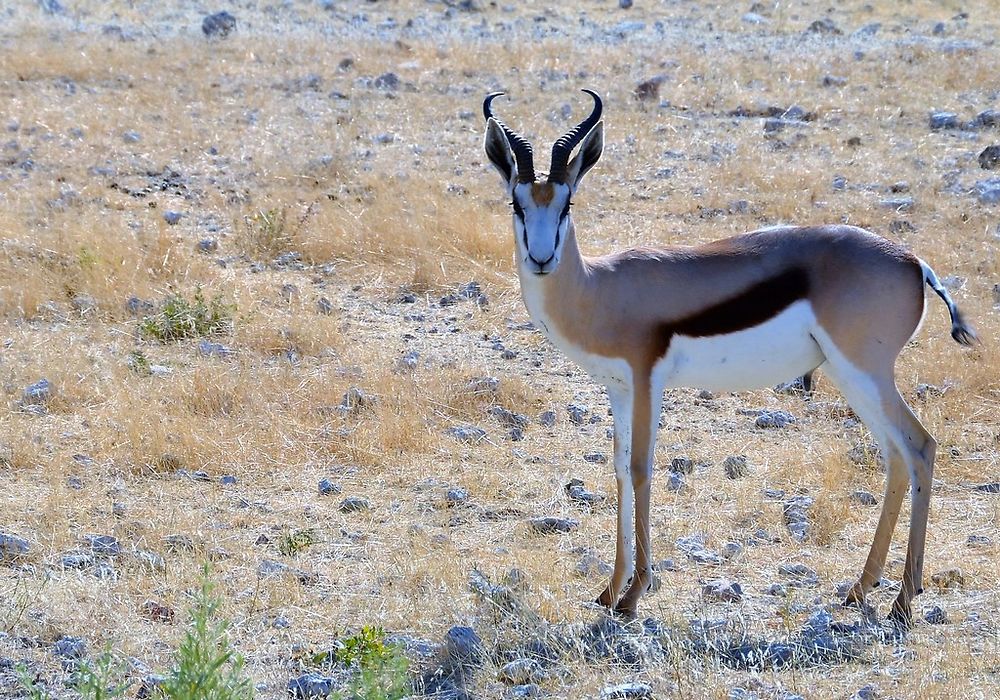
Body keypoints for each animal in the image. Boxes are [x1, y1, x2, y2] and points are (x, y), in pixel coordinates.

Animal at [484, 89, 976, 624]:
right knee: (895, 457)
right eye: (517, 203)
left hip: (865, 372)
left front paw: (634, 595)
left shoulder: (646, 381)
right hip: (851, 376)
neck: (599, 287)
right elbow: (617, 469)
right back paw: (860, 589)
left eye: (567, 202)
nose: (541, 259)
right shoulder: (617, 388)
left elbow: (641, 468)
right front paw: (609, 590)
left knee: (920, 446)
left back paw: (903, 599)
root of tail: (914, 262)